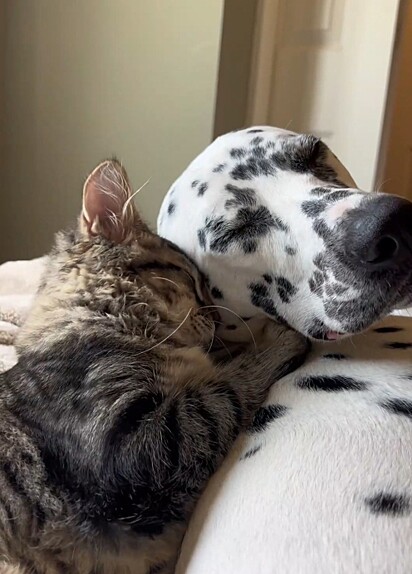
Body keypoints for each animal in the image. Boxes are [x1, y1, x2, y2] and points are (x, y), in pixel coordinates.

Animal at [0, 160, 306, 572]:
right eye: (191, 280)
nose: (216, 318)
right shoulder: (138, 445)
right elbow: (227, 391)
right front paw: (277, 336)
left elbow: (219, 377)